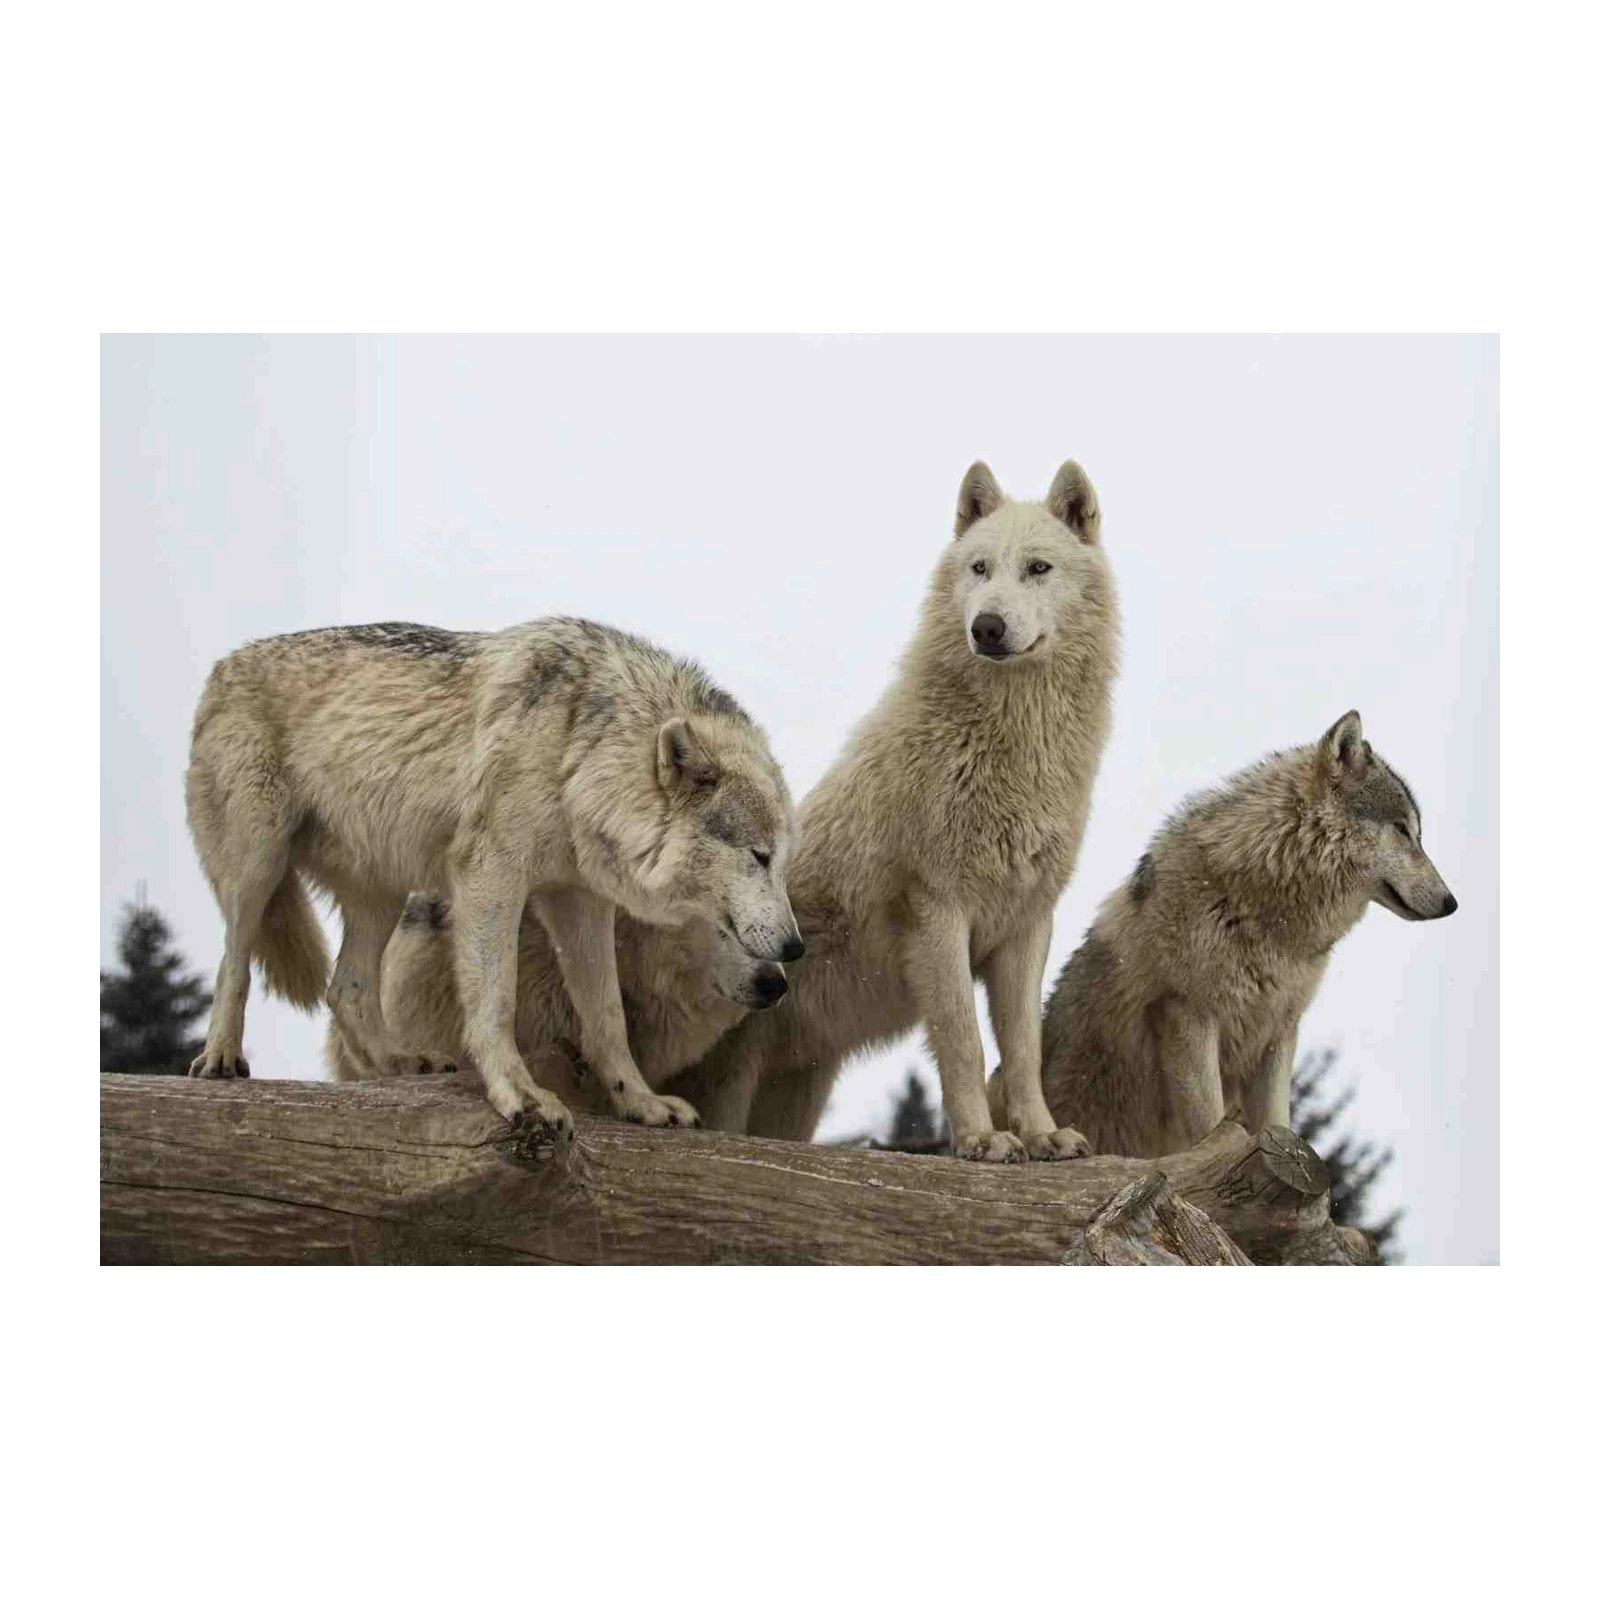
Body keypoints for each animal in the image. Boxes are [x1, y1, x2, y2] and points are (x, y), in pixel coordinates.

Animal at [672, 460, 1119, 1161]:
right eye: (980, 568)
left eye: (1038, 569)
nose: (986, 627)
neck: (1011, 747)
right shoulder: (939, 915)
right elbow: (965, 1044)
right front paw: (982, 1141)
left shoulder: (1027, 925)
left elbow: (1024, 1051)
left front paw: (1043, 1135)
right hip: (730, 1082)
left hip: (797, 1096)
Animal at [1008, 710, 1458, 1157]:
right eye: (1403, 830)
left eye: (1415, 833)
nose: (1452, 903)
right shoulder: (1188, 1015)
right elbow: (1211, 1127)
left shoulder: (1279, 1033)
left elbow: (1277, 1124)